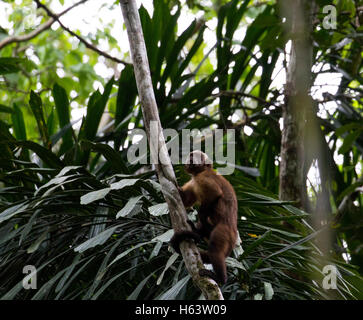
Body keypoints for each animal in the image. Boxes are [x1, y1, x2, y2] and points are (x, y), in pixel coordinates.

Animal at [171, 151, 239, 284]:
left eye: (193, 156)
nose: (189, 159)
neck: (200, 172)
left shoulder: (204, 177)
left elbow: (215, 194)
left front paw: (201, 214)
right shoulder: (194, 181)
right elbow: (185, 201)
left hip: (225, 231)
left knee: (215, 250)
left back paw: (220, 279)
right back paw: (198, 231)